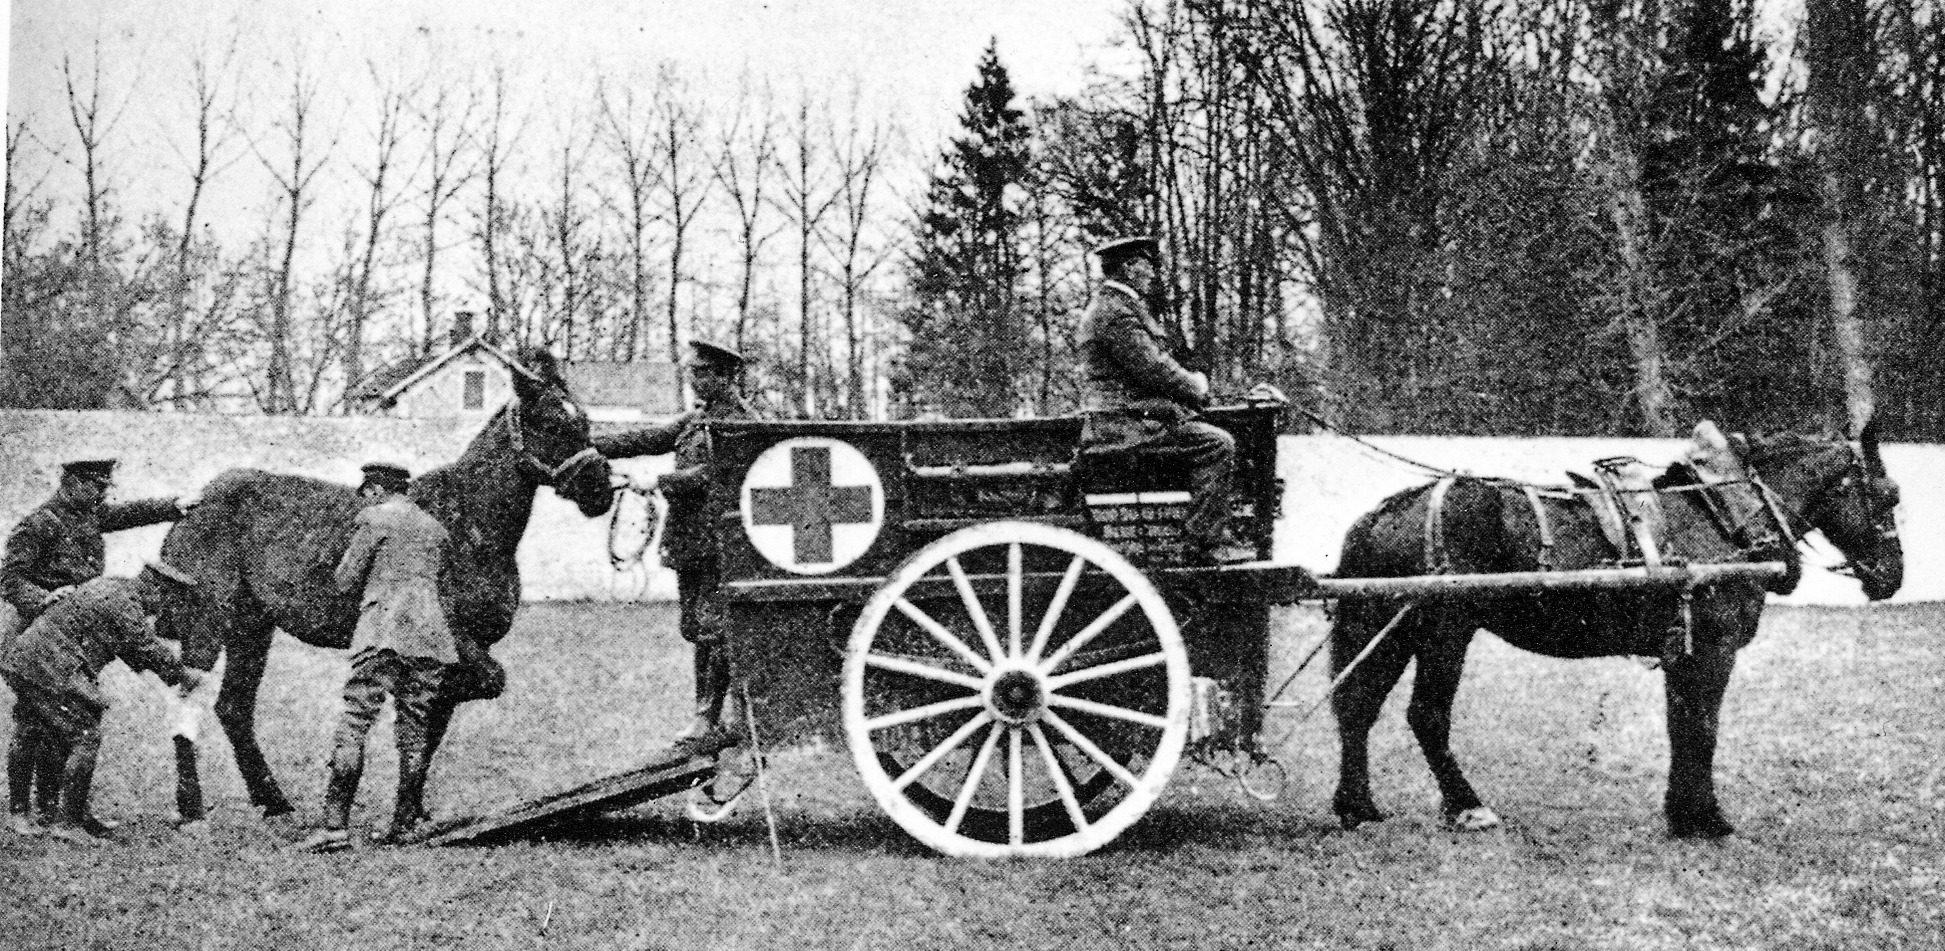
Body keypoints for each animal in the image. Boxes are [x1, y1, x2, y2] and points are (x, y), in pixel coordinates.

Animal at [158, 348, 614, 816]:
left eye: (584, 421)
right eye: (550, 422)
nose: (599, 488)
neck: (468, 524)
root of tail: (194, 502)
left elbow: (433, 723)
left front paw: (410, 810)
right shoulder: (454, 640)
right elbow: (481, 684)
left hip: (252, 627)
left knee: (233, 707)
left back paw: (273, 800)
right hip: (208, 623)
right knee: (188, 693)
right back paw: (191, 804)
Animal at [1330, 418, 1906, 832]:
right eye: (1889, 496)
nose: (1892, 576)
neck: (1721, 515)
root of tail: (1389, 512)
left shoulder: (1682, 649)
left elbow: (1681, 726)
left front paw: (1682, 814)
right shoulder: (1714, 648)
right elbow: (1704, 728)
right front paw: (1707, 818)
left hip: (1393, 628)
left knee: (1358, 704)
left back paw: (1357, 806)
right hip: (1444, 630)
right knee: (1425, 715)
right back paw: (1468, 807)